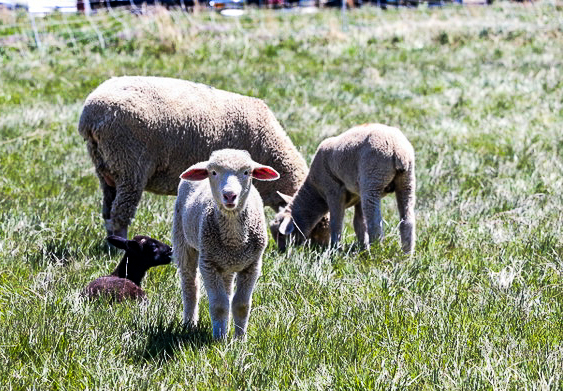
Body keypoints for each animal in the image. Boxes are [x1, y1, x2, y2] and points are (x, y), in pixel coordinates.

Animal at [77, 75, 328, 243]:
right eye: (317, 223)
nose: (323, 251)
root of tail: (90, 117)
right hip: (129, 164)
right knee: (120, 213)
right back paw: (119, 247)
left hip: (107, 169)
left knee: (108, 210)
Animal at [171, 149, 278, 340]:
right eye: (213, 172)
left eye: (247, 172)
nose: (229, 195)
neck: (234, 239)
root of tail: (199, 163)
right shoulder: (208, 263)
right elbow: (219, 305)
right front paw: (219, 339)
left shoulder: (252, 265)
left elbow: (241, 305)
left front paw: (239, 339)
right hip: (183, 241)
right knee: (190, 284)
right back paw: (190, 323)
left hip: (225, 263)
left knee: (227, 289)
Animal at [270, 124, 416, 256]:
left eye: (280, 235)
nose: (282, 253)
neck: (316, 193)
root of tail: (398, 150)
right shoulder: (358, 196)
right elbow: (359, 223)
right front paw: (363, 247)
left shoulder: (333, 190)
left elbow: (336, 223)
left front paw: (335, 249)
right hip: (406, 181)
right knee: (407, 220)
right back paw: (407, 255)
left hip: (372, 180)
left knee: (375, 223)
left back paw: (375, 253)